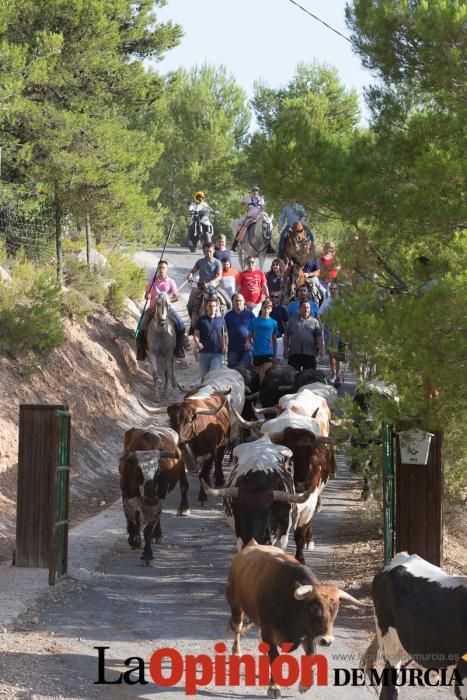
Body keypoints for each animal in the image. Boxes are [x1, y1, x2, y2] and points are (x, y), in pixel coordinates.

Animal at [119, 426, 185, 564]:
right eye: (137, 470)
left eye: (158, 471)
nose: (150, 499)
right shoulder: (126, 497)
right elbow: (131, 521)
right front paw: (134, 540)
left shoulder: (158, 500)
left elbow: (148, 529)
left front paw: (147, 553)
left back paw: (157, 535)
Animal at [227, 544, 366, 696]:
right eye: (315, 608)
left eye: (335, 609)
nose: (327, 641)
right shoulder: (268, 632)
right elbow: (274, 657)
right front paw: (274, 687)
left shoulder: (309, 635)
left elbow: (311, 659)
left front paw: (305, 685)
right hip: (236, 606)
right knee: (237, 630)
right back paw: (236, 652)